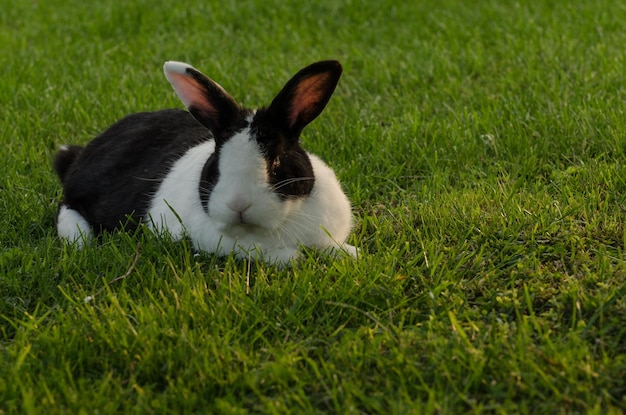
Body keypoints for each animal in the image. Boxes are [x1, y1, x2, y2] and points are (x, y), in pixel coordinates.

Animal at [53, 60, 356, 264]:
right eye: (216, 162)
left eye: (278, 161)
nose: (239, 205)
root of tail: (82, 154)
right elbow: (280, 257)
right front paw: (293, 257)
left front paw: (351, 253)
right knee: (67, 206)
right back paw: (80, 240)